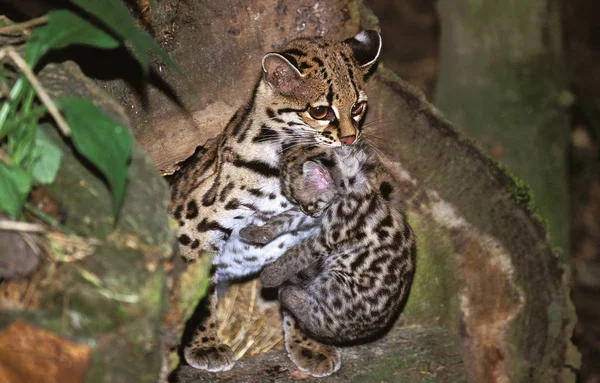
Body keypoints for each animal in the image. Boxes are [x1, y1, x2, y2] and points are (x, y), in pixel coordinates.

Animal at [171, 30, 382, 378]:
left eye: (359, 106)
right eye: (320, 111)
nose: (351, 139)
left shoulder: (306, 235)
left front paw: (308, 344)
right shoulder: (194, 227)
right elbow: (197, 295)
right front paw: (204, 345)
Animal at [240, 144, 418, 344]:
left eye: (309, 204)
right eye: (299, 203)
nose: (310, 213)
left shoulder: (326, 237)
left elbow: (295, 254)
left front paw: (271, 274)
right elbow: (283, 219)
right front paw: (257, 232)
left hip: (336, 281)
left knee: (313, 316)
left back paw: (288, 292)